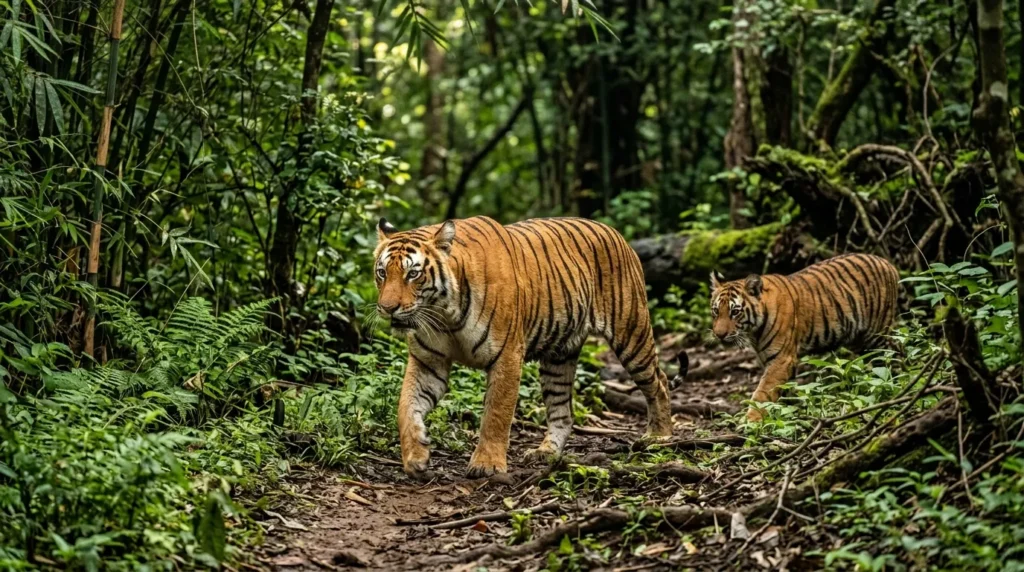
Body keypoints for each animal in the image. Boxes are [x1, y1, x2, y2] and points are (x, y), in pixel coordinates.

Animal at [373, 216, 673, 478]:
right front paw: (416, 456)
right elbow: (406, 407)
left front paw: (487, 464)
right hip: (558, 358)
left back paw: (659, 437)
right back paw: (546, 452)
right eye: (382, 273)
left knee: (659, 382)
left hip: (631, 333)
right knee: (562, 412)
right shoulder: (428, 362)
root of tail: (615, 232)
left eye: (413, 274)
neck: (444, 314)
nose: (387, 308)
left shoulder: (506, 356)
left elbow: (496, 414)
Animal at [709, 253, 900, 422]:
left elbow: (763, 392)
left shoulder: (781, 359)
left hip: (877, 334)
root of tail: (886, 263)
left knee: (893, 353)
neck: (754, 330)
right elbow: (783, 389)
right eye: (716, 311)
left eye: (735, 312)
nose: (719, 334)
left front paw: (751, 421)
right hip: (859, 339)